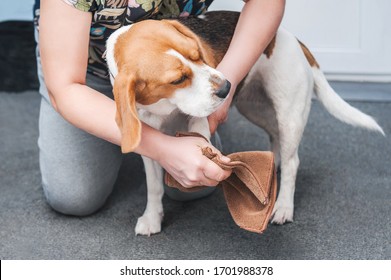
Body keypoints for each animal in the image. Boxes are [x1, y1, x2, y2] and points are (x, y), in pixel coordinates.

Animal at [105, 10, 384, 235]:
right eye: (177, 80)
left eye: (198, 55)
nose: (226, 87)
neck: (166, 107)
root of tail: (292, 38)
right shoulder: (150, 145)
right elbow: (154, 187)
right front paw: (152, 218)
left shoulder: (200, 120)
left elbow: (199, 131)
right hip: (253, 107)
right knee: (274, 135)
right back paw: (272, 165)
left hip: (290, 114)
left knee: (293, 161)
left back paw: (283, 206)